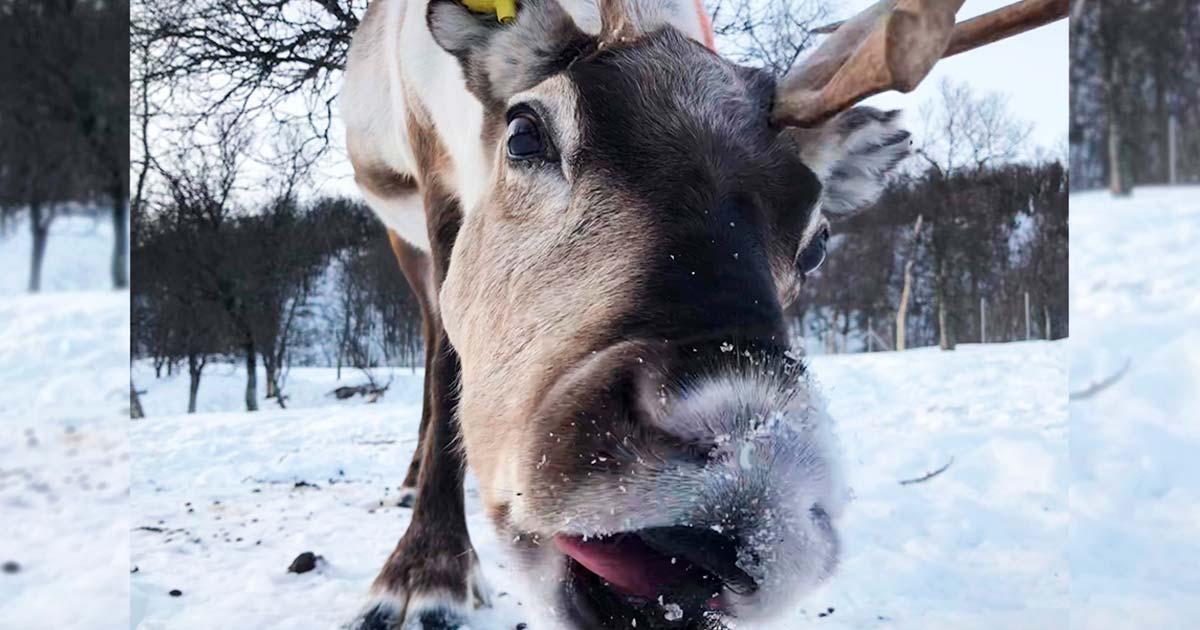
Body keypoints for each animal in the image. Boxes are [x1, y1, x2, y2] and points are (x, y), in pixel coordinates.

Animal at [338, 0, 1067, 628]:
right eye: (523, 132)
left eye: (817, 240)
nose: (749, 469)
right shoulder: (436, 185)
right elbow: (447, 369)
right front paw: (424, 578)